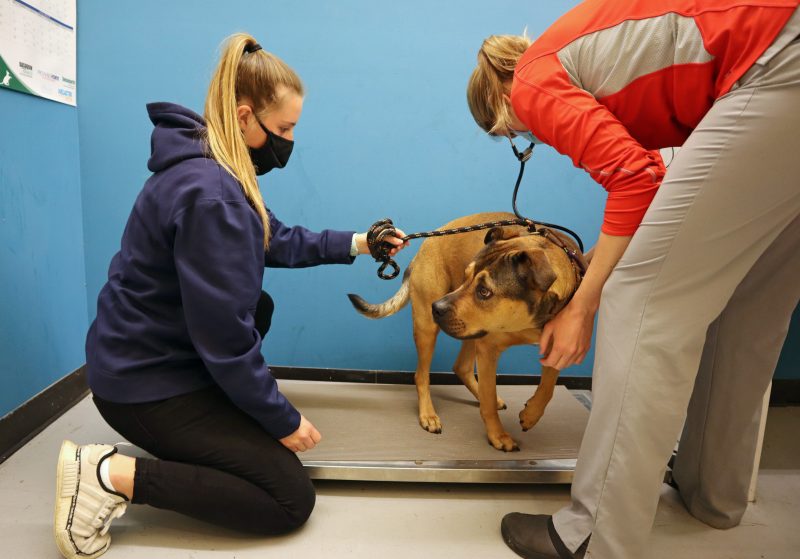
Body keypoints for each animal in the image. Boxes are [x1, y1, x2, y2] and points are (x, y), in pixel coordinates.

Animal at [346, 212, 584, 452]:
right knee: (421, 375)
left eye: (484, 291)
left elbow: (548, 385)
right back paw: (428, 414)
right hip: (427, 328)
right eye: (466, 275)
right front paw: (498, 435)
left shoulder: (558, 344)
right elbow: (488, 399)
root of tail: (425, 245)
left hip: (471, 331)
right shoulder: (489, 348)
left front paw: (531, 414)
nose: (436, 308)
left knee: (462, 368)